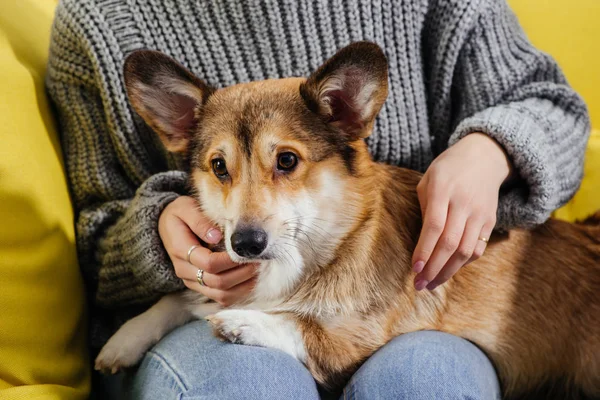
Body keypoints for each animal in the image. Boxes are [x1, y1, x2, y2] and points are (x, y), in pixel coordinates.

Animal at [96, 42, 600, 398]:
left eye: (287, 160)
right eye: (219, 167)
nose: (246, 243)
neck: (311, 249)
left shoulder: (355, 341)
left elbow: (299, 325)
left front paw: (243, 322)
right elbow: (176, 297)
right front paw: (123, 339)